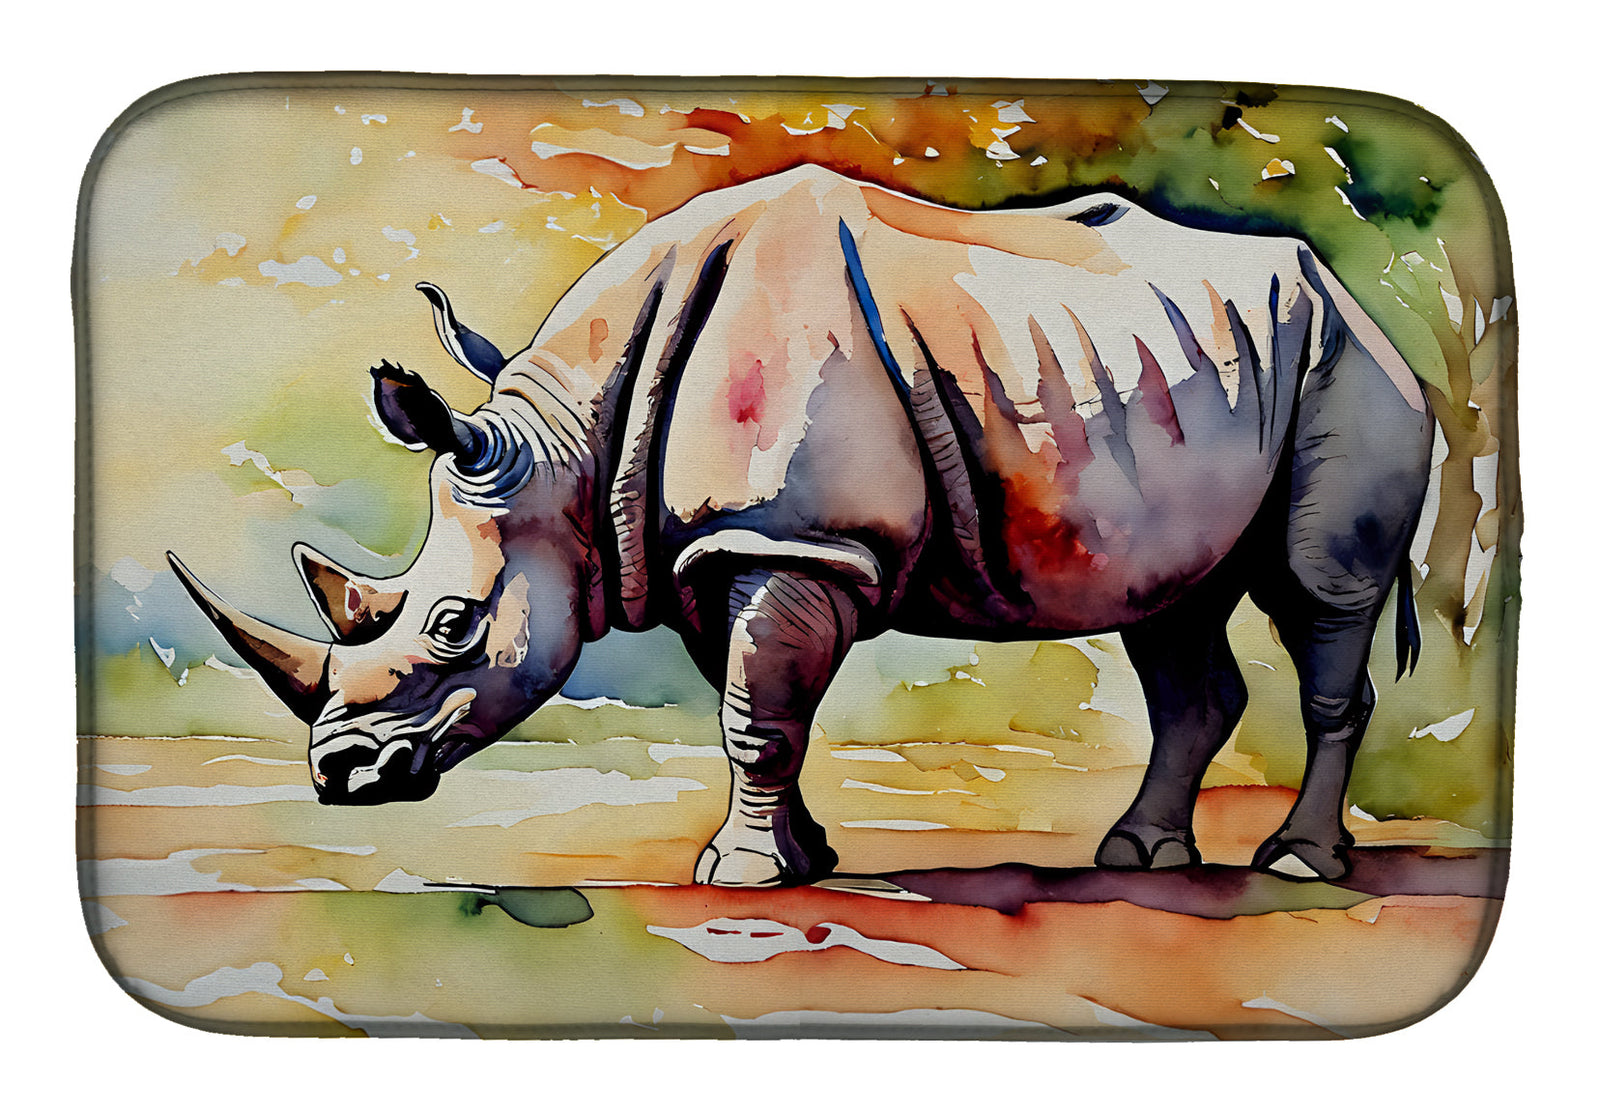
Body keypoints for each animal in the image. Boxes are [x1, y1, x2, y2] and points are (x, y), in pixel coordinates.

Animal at [171, 165, 1433, 886]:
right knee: (1172, 614)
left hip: (1346, 364)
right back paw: (1139, 858)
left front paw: (738, 880)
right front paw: (800, 859)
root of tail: (1353, 295)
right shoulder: (713, 546)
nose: (338, 777)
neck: (569, 447)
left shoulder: (796, 538)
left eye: (448, 626)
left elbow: (755, 711)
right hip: (1197, 371)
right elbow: (760, 708)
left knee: (1320, 594)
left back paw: (1298, 868)